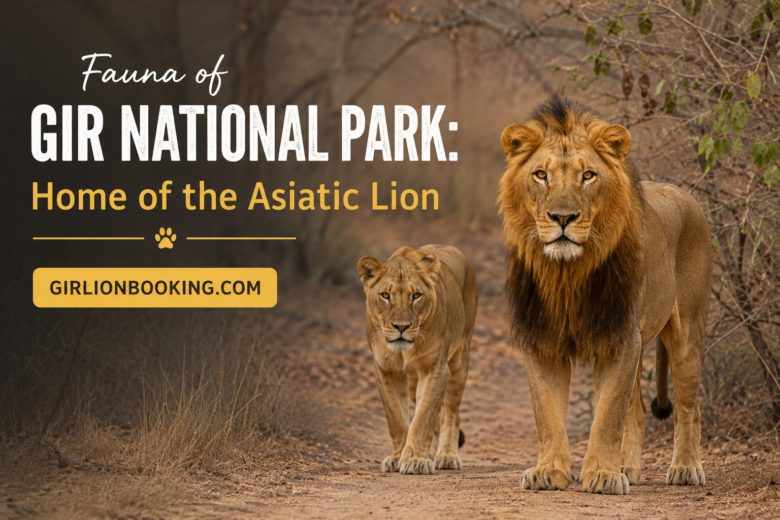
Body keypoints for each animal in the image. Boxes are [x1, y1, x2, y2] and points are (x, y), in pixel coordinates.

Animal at [358, 244, 478, 475]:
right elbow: (396, 417)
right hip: (414, 383)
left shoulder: (436, 369)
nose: (401, 327)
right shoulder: (385, 371)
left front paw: (415, 460)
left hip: (460, 360)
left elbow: (423, 417)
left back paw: (447, 456)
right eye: (385, 295)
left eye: (416, 295)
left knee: (451, 413)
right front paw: (398, 458)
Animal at [498, 99, 713, 495]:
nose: (562, 217)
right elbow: (547, 413)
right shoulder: (541, 340)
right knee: (639, 411)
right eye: (540, 175)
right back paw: (628, 467)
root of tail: (682, 193)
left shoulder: (620, 338)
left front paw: (602, 475)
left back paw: (686, 468)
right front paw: (549, 471)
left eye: (588, 175)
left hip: (687, 333)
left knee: (689, 408)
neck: (567, 273)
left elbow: (608, 414)